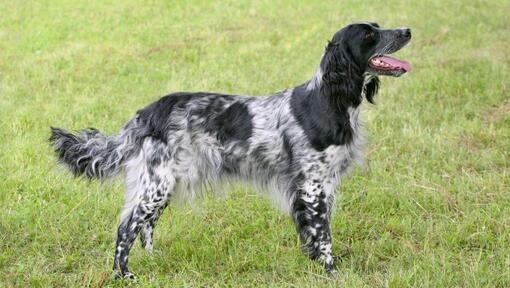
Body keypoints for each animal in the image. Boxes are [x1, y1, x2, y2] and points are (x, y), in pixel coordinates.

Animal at [49, 21, 412, 278]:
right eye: (369, 33)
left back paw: (155, 260)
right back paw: (124, 275)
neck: (327, 100)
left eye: (378, 25)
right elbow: (323, 236)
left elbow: (313, 233)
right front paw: (332, 272)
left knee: (145, 227)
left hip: (161, 183)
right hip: (157, 183)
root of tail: (145, 113)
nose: (407, 30)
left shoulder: (319, 186)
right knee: (127, 228)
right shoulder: (313, 185)